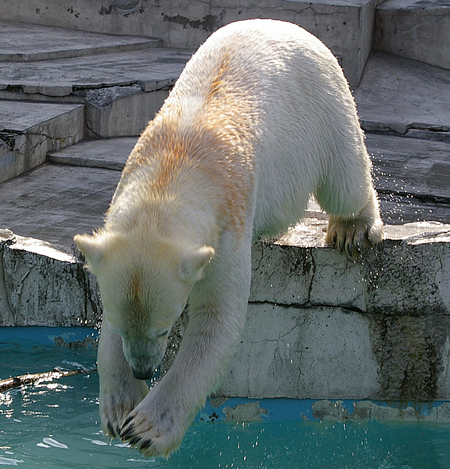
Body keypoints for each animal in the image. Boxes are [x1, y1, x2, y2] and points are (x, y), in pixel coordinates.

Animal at [74, 19, 384, 458]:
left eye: (166, 328)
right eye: (120, 324)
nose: (143, 369)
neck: (174, 163)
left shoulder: (227, 225)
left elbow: (217, 319)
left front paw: (147, 428)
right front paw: (118, 409)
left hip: (325, 103)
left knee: (345, 178)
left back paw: (352, 228)